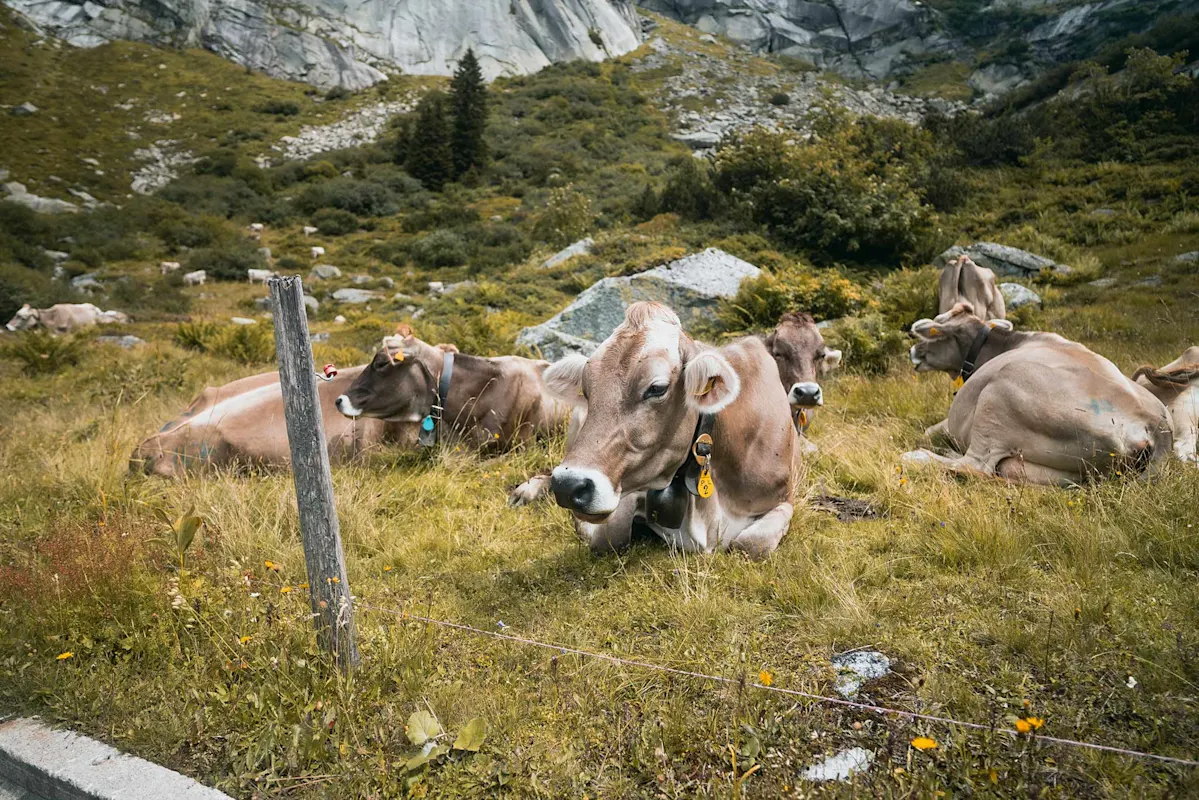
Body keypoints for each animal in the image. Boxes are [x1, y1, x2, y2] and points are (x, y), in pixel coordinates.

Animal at [540, 301, 800, 558]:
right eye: (586, 390)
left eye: (657, 388)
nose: (567, 485)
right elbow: (608, 536)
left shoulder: (783, 499)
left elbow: (751, 544)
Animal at [903, 302, 1172, 486]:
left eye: (935, 331)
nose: (912, 351)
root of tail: (1156, 425)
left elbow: (928, 431)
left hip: (1002, 391)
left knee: (974, 465)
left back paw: (918, 456)